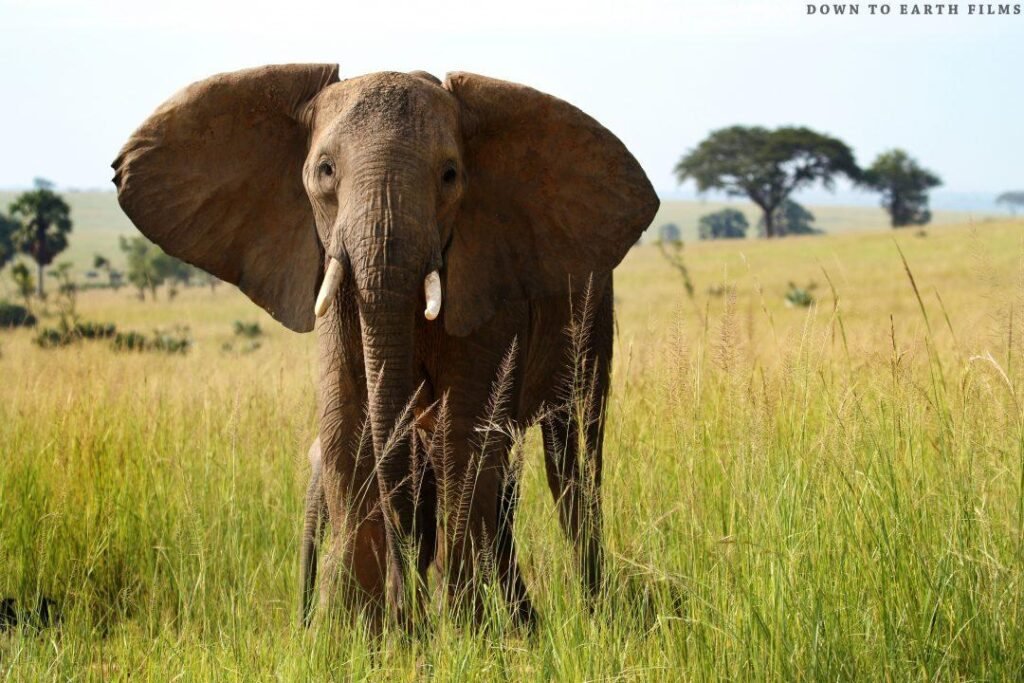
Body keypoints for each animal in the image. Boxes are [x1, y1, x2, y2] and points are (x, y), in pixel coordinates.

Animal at [112, 64, 658, 628]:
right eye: (325, 171)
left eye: (450, 176)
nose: (409, 617)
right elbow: (346, 431)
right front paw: (355, 632)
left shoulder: (486, 280)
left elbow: (464, 435)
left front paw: (465, 632)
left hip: (592, 308)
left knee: (573, 450)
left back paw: (592, 612)